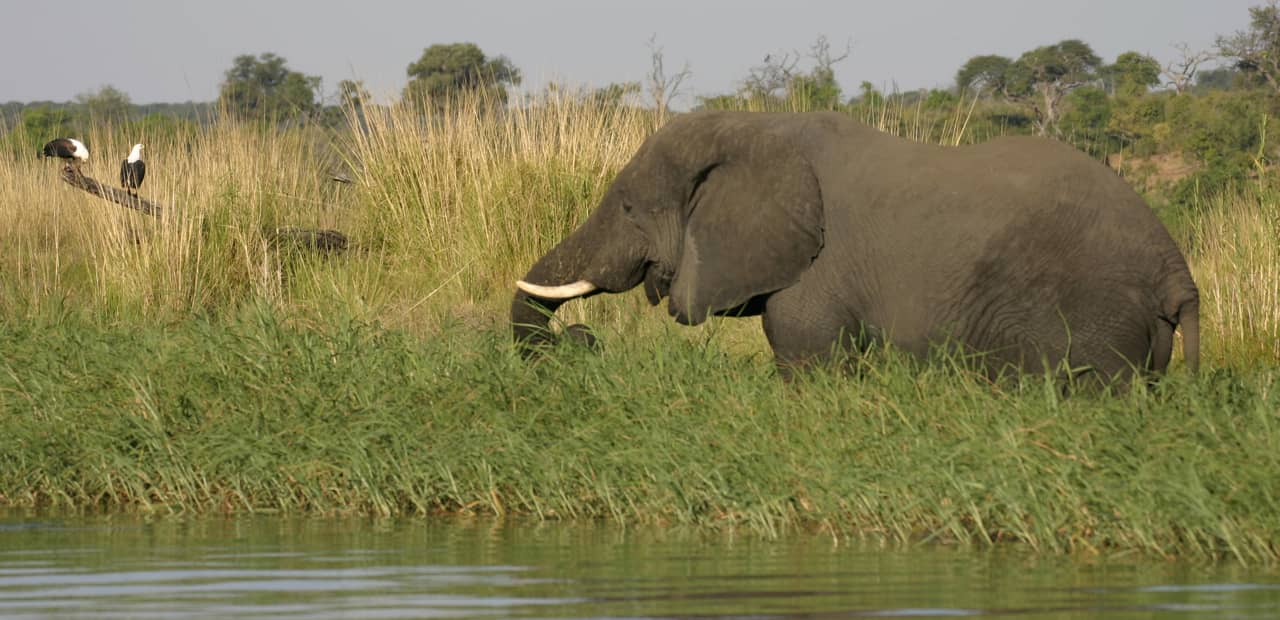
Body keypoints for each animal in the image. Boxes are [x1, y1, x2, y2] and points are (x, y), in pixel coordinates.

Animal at [511, 110, 1200, 384]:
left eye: (628, 207)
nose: (580, 340)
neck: (757, 125)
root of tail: (1177, 274)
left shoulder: (816, 274)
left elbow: (805, 351)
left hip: (1097, 318)